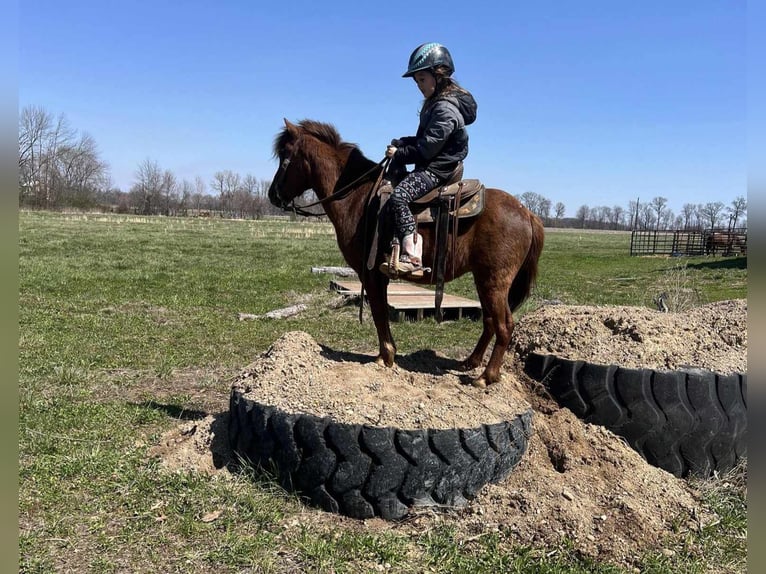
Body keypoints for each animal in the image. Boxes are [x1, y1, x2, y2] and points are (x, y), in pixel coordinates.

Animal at [270, 119, 544, 390]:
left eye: (285, 157)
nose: (272, 195)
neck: (357, 199)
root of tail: (527, 213)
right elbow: (380, 312)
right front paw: (385, 354)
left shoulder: (371, 274)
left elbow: (379, 313)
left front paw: (385, 356)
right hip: (483, 279)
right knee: (489, 322)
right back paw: (470, 362)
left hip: (494, 281)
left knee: (504, 325)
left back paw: (486, 376)